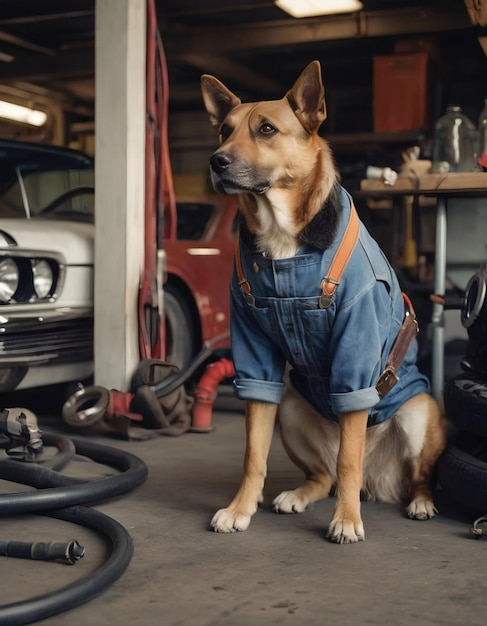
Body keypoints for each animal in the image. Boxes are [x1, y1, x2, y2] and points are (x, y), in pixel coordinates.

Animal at [200, 61, 448, 544]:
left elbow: (348, 459)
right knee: (324, 475)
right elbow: (253, 455)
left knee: (404, 474)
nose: (217, 161)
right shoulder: (256, 364)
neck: (283, 242)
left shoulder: (355, 356)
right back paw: (298, 495)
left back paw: (421, 501)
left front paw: (347, 519)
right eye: (223, 130)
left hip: (418, 412)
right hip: (292, 409)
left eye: (266, 129)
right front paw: (240, 508)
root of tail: (377, 480)